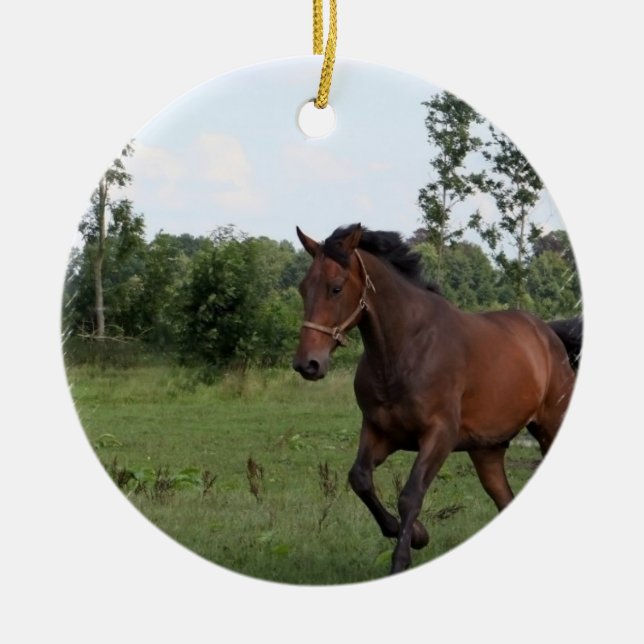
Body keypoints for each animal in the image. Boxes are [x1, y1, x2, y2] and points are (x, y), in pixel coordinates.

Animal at [292, 223, 579, 574]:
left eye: (335, 288)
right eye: (304, 288)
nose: (307, 364)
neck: (405, 349)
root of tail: (548, 334)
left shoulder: (439, 435)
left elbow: (410, 495)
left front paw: (405, 554)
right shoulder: (381, 431)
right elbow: (360, 478)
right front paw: (415, 533)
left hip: (549, 427)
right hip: (487, 451)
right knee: (504, 499)